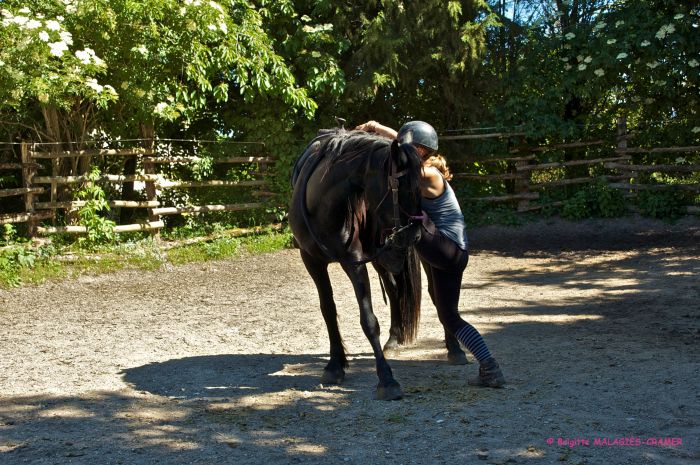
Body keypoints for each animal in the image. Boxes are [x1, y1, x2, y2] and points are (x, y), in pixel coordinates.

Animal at [290, 128, 426, 398]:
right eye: (402, 187)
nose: (415, 235)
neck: (321, 203)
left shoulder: (354, 262)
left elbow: (369, 320)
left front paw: (387, 379)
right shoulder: (311, 261)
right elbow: (328, 310)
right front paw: (335, 365)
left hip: (384, 252)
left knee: (395, 288)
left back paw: (394, 338)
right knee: (394, 287)